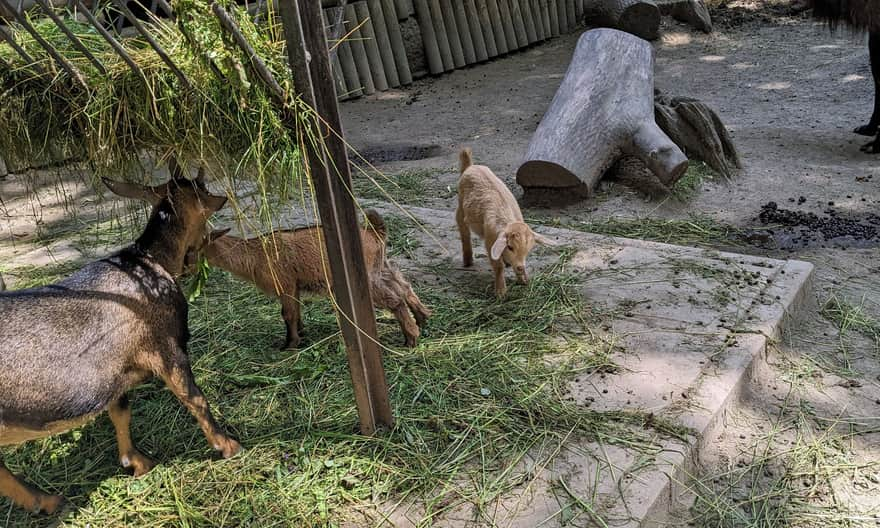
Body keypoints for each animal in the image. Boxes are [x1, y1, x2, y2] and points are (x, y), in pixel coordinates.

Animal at [0, 162, 241, 516]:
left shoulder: (116, 368)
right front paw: (227, 445)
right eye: (202, 190)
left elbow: (120, 411)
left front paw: (136, 462)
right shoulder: (165, 345)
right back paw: (48, 501)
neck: (150, 262)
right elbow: (194, 398)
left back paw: (46, 501)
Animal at [190, 210, 434, 350]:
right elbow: (296, 312)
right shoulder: (295, 286)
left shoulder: (285, 284)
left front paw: (289, 344)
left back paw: (411, 338)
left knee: (395, 298)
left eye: (192, 248)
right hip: (380, 266)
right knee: (403, 286)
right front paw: (300, 334)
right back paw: (422, 318)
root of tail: (374, 233)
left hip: (365, 276)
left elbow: (287, 314)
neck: (256, 253)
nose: (183, 268)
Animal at [458, 147, 552, 296]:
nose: (520, 267)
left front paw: (523, 280)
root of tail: (470, 166)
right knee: (463, 231)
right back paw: (468, 261)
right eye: (510, 247)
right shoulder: (490, 240)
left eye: (528, 250)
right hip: (460, 205)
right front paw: (501, 292)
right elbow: (498, 266)